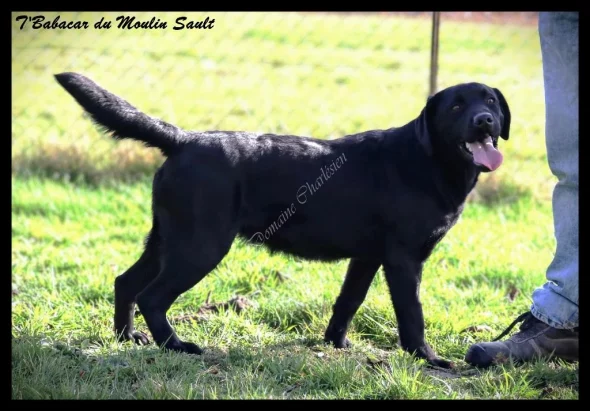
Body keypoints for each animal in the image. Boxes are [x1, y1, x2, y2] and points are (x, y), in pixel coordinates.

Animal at [54, 72, 508, 368]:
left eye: (489, 101)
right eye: (456, 105)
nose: (485, 120)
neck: (427, 160)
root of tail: (184, 139)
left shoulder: (367, 257)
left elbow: (348, 302)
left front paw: (335, 344)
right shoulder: (404, 260)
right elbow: (412, 315)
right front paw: (429, 359)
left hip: (167, 239)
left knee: (125, 282)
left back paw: (127, 338)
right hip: (200, 246)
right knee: (152, 296)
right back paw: (176, 346)